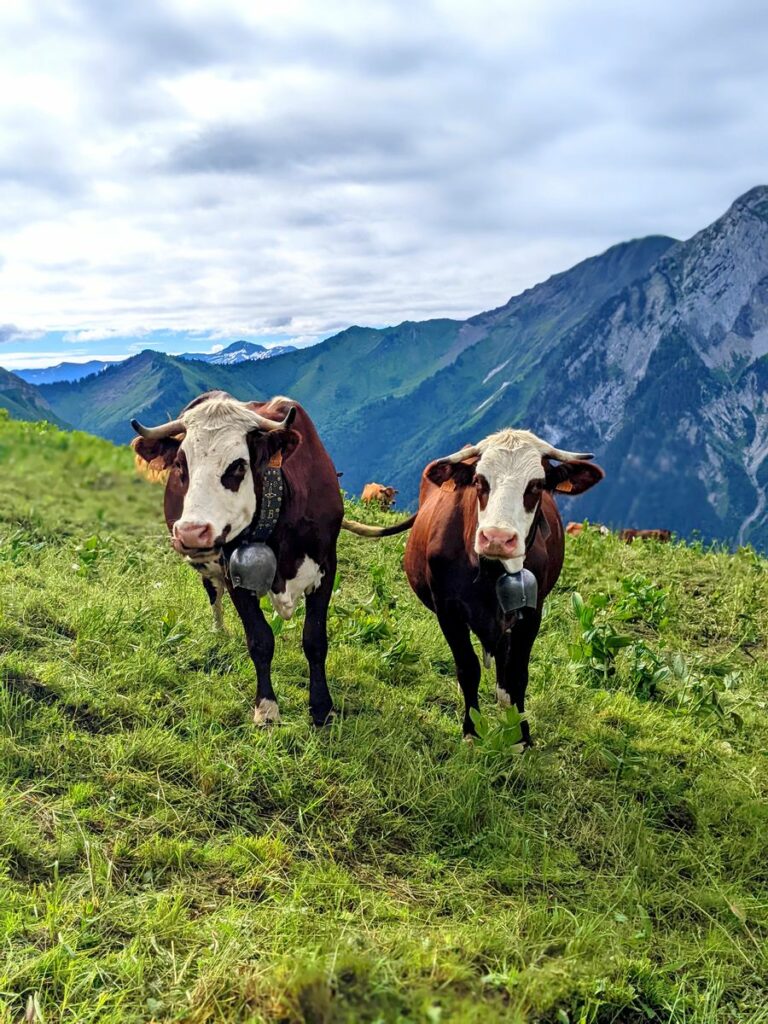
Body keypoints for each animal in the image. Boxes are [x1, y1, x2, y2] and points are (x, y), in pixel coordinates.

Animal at [132, 389, 342, 729]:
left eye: (238, 466)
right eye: (180, 464)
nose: (191, 532)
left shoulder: (327, 565)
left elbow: (315, 640)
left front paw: (322, 708)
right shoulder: (234, 573)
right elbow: (260, 640)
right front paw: (267, 709)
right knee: (212, 592)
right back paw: (218, 632)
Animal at [344, 428, 606, 741]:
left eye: (537, 485)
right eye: (480, 481)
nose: (497, 537)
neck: (491, 571)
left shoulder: (532, 611)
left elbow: (518, 673)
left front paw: (521, 735)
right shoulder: (447, 610)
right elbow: (467, 668)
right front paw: (472, 730)